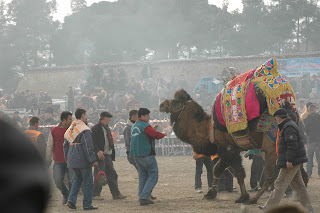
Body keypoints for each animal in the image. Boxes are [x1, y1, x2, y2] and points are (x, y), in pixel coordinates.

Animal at [159, 88, 308, 205]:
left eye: (175, 101)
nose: (161, 104)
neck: (207, 129)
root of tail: (293, 115)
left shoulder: (227, 149)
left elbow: (228, 170)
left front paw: (242, 197)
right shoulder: (231, 150)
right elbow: (227, 171)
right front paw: (214, 194)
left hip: (271, 147)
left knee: (271, 176)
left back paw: (254, 199)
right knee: (300, 171)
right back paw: (298, 196)